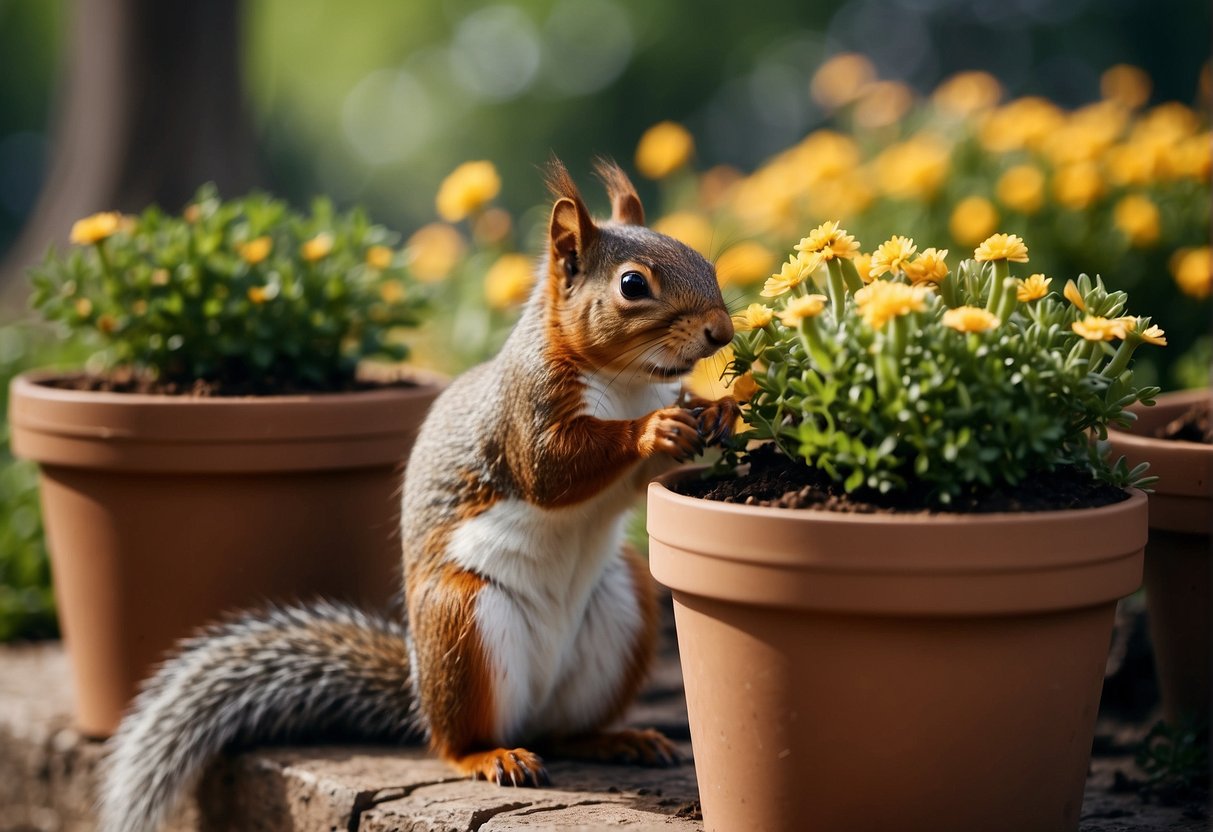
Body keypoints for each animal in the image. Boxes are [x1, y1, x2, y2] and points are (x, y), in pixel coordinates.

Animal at [97, 157, 737, 832]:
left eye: (703, 258)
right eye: (633, 285)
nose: (721, 331)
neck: (626, 381)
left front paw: (722, 409)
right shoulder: (526, 411)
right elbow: (550, 471)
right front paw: (653, 430)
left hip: (620, 606)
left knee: (565, 730)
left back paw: (620, 739)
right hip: (462, 620)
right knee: (455, 741)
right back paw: (493, 755)